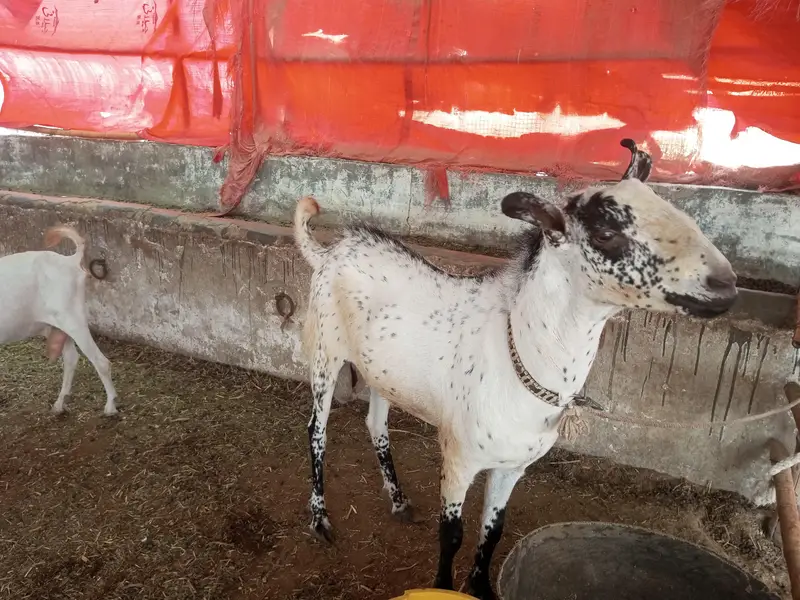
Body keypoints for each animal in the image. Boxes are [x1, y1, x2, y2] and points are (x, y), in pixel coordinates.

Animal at [0, 226, 118, 416]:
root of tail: (70, 261)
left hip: (73, 319)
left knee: (101, 361)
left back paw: (110, 406)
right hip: (57, 325)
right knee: (71, 358)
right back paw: (59, 404)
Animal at [293, 140, 738, 600]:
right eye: (605, 234)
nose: (724, 284)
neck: (518, 356)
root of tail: (330, 250)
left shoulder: (512, 468)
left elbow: (493, 532)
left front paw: (481, 586)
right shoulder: (459, 457)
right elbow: (451, 534)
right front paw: (443, 586)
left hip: (383, 371)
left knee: (377, 425)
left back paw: (398, 501)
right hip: (325, 350)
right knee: (316, 430)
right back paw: (320, 518)